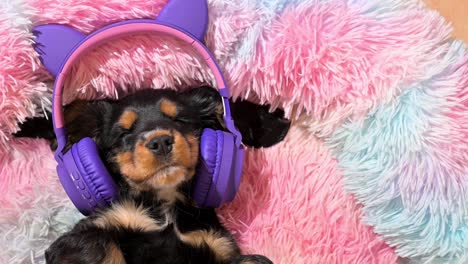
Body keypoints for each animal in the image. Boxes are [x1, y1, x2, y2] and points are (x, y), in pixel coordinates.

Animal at [14, 85, 290, 262]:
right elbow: (104, 249)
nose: (160, 141)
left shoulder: (217, 245)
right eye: (124, 132)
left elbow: (256, 260)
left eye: (180, 120)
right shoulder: (83, 236)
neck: (164, 203)